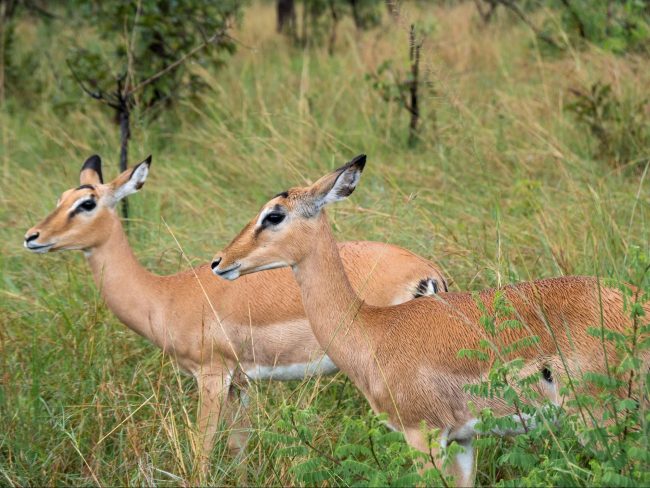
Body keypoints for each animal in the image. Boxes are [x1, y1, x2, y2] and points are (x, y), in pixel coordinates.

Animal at [21, 154, 446, 470]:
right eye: (61, 198)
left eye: (87, 203)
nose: (32, 237)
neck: (165, 295)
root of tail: (430, 274)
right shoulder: (240, 384)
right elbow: (239, 447)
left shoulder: (211, 375)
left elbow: (202, 450)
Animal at [210, 155, 644, 484]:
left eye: (274, 215)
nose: (219, 261)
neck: (373, 329)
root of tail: (638, 304)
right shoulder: (465, 440)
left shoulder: (424, 436)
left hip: (603, 419)